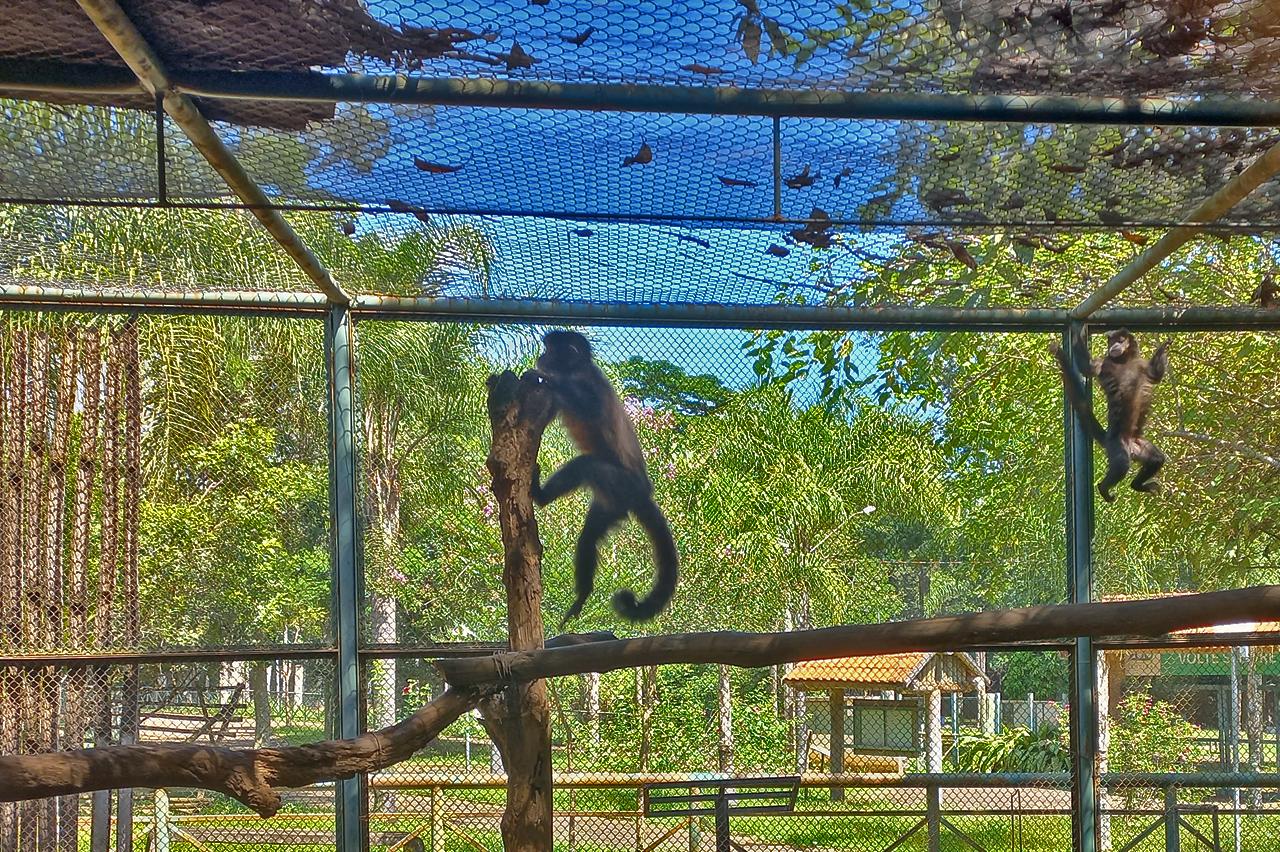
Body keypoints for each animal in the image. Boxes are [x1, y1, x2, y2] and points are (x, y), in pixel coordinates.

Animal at [529, 330, 679, 626]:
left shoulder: (588, 381)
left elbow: (593, 410)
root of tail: (643, 491)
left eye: (549, 350)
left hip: (620, 482)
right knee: (589, 538)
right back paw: (583, 593)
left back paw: (540, 496)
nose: (541, 356)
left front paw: (549, 378)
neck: (578, 369)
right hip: (612, 503)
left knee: (587, 465)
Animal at [1049, 328, 1171, 503]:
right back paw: (1104, 487)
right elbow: (1087, 368)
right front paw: (1077, 332)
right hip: (1116, 444)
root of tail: (1128, 443)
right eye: (1112, 341)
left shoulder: (1142, 364)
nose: (1114, 346)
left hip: (1139, 445)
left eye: (1120, 340)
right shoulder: (1103, 363)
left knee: (1156, 459)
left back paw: (1136, 485)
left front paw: (1163, 348)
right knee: (1121, 463)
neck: (1124, 361)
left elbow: (1156, 375)